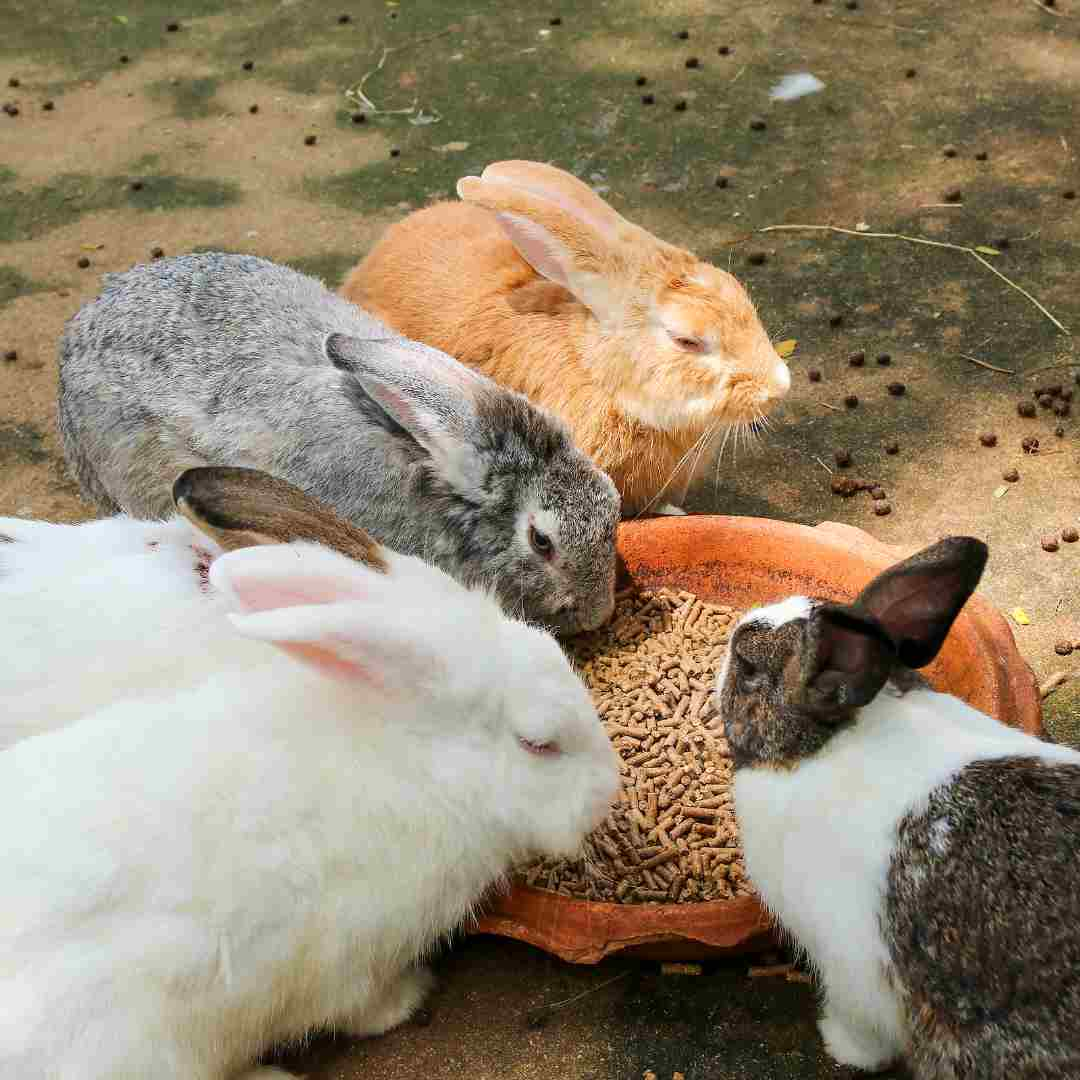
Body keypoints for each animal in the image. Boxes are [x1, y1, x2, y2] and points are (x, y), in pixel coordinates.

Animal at [717, 535, 1080, 1075]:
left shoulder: (851, 965)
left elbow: (861, 1027)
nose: (726, 650)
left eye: (747, 667)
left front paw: (838, 1045)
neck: (823, 745)